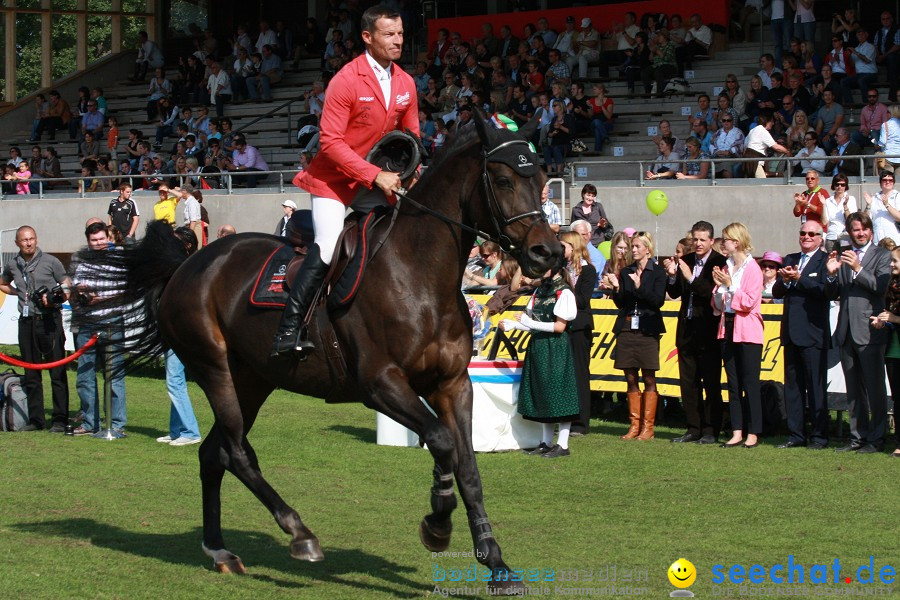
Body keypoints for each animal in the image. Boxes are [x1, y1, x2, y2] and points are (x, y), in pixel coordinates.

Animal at [77, 112, 560, 596]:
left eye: (541, 179)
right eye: (503, 179)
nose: (548, 252)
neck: (420, 276)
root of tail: (187, 264)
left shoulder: (453, 385)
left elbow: (468, 469)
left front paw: (497, 564)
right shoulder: (381, 384)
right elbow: (442, 443)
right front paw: (437, 525)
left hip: (253, 381)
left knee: (213, 454)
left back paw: (219, 550)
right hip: (215, 370)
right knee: (235, 452)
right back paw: (299, 533)